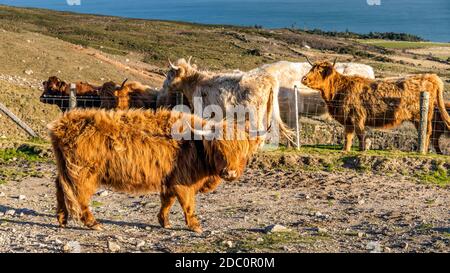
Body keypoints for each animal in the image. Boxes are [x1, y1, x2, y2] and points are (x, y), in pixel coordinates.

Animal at [48, 108, 262, 232]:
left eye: (242, 152)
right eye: (219, 150)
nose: (229, 173)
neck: (196, 144)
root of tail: (62, 124)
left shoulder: (170, 179)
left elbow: (167, 201)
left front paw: (164, 222)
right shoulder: (182, 181)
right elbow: (188, 204)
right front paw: (195, 226)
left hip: (65, 168)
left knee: (60, 187)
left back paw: (62, 219)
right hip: (83, 173)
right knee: (80, 196)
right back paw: (93, 223)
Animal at [300, 59, 450, 152]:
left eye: (320, 71)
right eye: (312, 68)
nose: (304, 79)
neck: (339, 90)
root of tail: (430, 76)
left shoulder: (356, 117)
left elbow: (360, 134)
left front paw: (362, 150)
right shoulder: (348, 119)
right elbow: (348, 136)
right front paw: (345, 150)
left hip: (421, 116)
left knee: (426, 132)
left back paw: (422, 150)